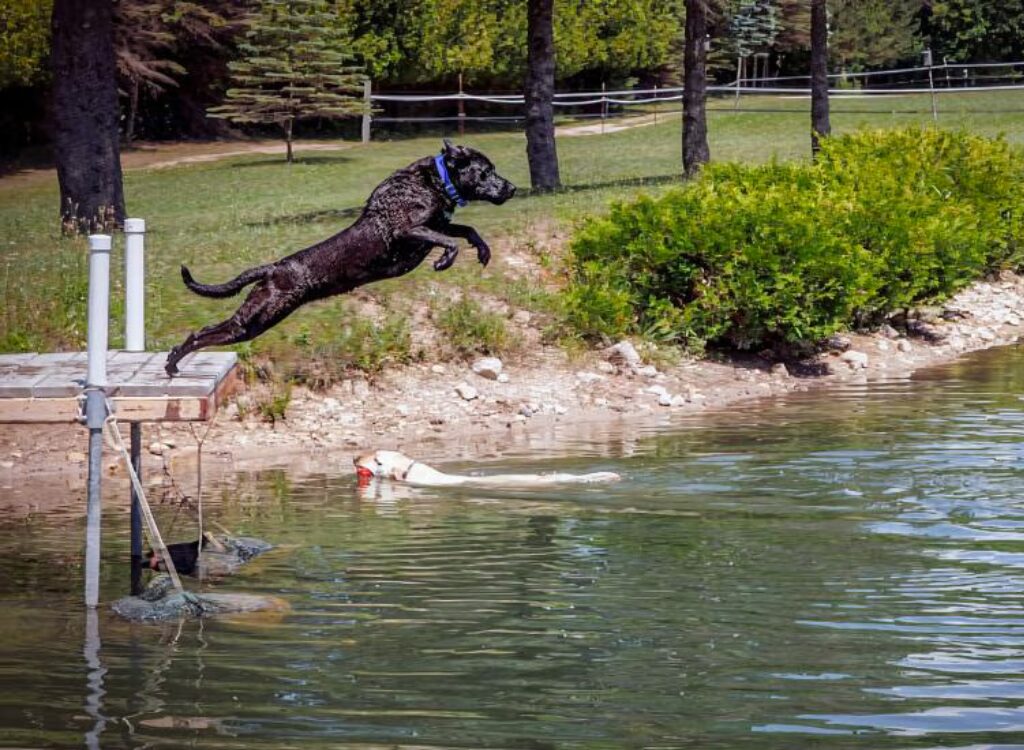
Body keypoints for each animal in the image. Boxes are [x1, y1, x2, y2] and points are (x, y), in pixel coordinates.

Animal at [169, 140, 520, 375]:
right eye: (486, 171)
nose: (513, 188)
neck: (434, 180)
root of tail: (272, 269)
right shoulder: (408, 230)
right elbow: (450, 241)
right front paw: (445, 260)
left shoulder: (438, 223)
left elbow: (467, 230)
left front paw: (483, 251)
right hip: (257, 318)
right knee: (202, 333)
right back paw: (173, 362)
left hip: (256, 319)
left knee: (207, 331)